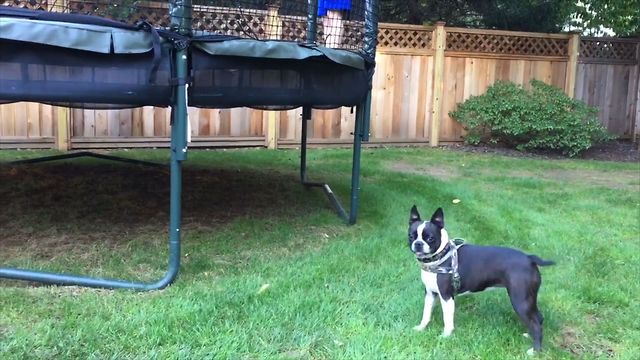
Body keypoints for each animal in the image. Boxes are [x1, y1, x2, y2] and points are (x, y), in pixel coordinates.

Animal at [410, 205, 556, 354]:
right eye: (411, 236)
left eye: (430, 238)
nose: (418, 243)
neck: (441, 255)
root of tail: (529, 258)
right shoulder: (430, 294)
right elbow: (426, 313)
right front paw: (421, 328)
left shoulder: (446, 296)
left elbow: (447, 318)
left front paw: (446, 336)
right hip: (529, 299)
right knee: (538, 317)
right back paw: (530, 336)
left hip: (520, 300)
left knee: (536, 323)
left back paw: (535, 350)